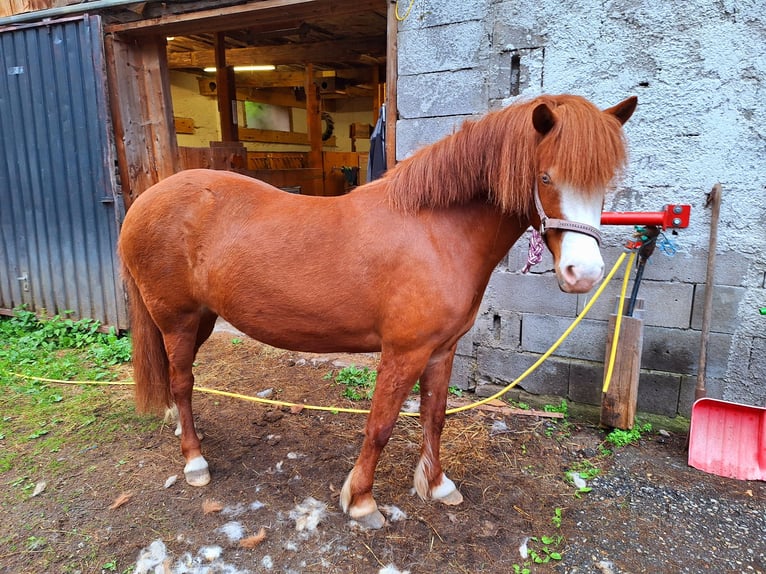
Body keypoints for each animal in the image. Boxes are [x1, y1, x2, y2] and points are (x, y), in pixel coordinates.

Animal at [118, 94, 636, 532]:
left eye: (605, 186)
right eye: (546, 177)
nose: (584, 274)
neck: (435, 231)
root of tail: (145, 201)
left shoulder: (441, 351)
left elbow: (435, 416)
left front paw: (437, 485)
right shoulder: (403, 352)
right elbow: (381, 425)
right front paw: (362, 501)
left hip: (202, 319)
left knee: (179, 379)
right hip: (178, 319)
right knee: (182, 382)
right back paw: (194, 461)